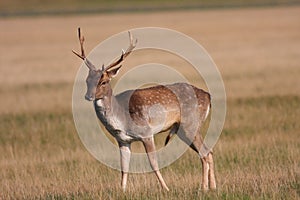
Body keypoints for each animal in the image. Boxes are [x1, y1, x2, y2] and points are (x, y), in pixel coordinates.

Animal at [72, 27, 216, 191]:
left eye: (103, 82)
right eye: (87, 80)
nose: (88, 96)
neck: (121, 118)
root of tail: (208, 96)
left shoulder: (147, 133)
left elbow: (153, 163)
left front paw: (166, 189)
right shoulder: (122, 140)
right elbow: (124, 167)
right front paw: (122, 191)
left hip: (190, 125)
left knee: (204, 153)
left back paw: (203, 188)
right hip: (183, 130)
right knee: (209, 151)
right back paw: (213, 187)